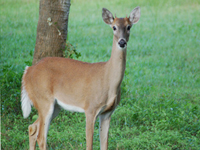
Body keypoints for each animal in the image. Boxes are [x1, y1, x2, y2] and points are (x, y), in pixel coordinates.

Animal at [21, 6, 141, 150]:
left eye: (129, 27)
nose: (122, 42)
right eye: (114, 27)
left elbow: (104, 144)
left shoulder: (107, 113)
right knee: (41, 137)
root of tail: (27, 71)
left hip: (55, 105)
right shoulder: (90, 108)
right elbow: (89, 144)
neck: (108, 79)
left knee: (32, 127)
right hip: (43, 99)